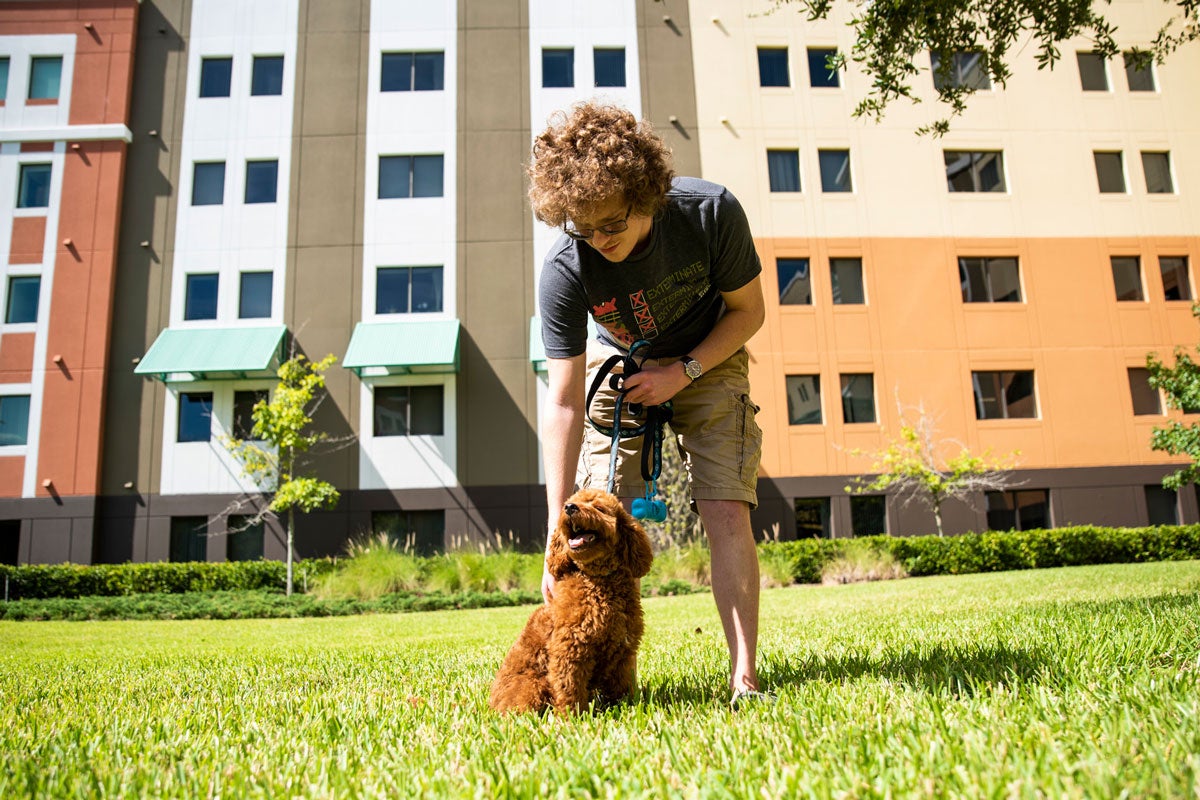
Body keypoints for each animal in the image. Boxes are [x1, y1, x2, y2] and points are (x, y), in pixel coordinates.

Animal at [487, 491, 657, 714]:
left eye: (598, 508)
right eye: (570, 502)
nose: (569, 507)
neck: (598, 582)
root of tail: (491, 702)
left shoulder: (622, 654)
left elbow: (621, 689)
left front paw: (627, 708)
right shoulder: (570, 649)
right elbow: (569, 688)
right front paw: (572, 717)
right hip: (531, 687)